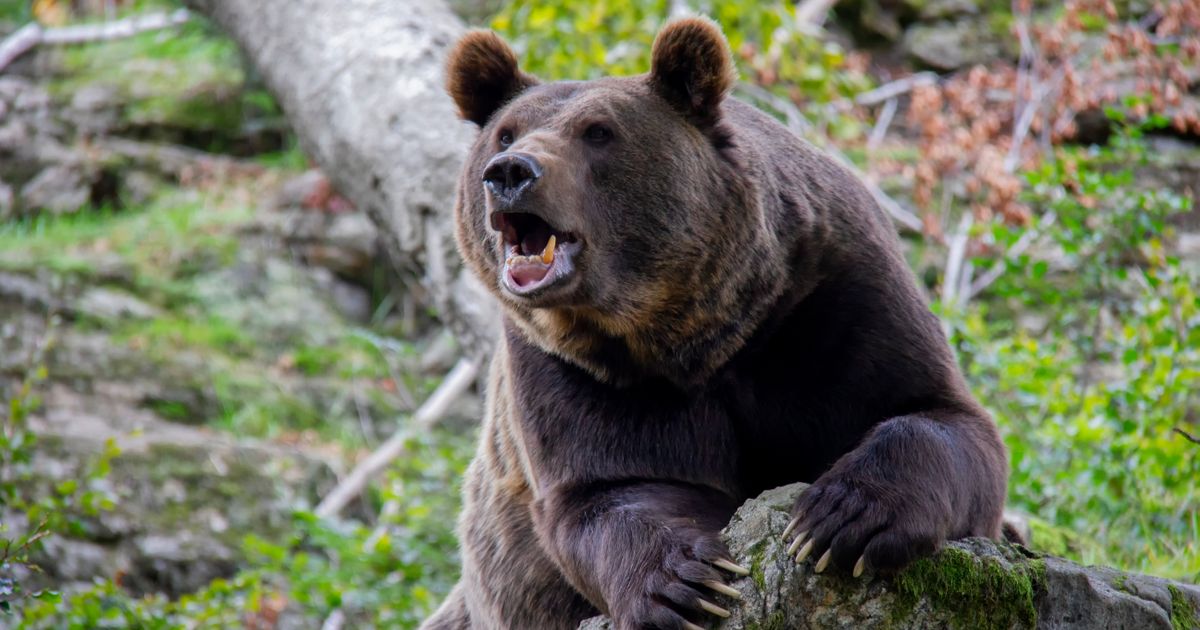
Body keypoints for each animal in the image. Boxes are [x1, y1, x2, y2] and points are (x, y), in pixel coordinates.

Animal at [423, 16, 1009, 630]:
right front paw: (680, 583)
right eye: (505, 133)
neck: (696, 329)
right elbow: (611, 487)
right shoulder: (575, 367)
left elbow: (938, 415)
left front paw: (840, 518)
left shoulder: (831, 300)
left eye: (598, 132)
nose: (510, 172)